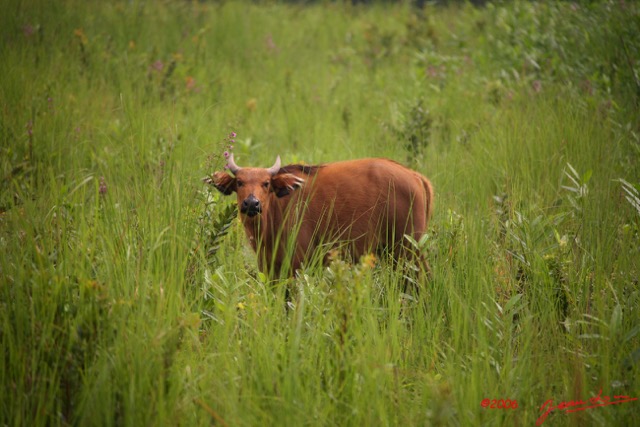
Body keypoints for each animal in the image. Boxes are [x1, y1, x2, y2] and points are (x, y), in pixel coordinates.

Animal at [208, 155, 432, 280]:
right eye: (239, 182)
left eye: (266, 183)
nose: (252, 203)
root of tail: (415, 176)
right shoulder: (269, 266)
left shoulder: (296, 264)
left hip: (408, 250)